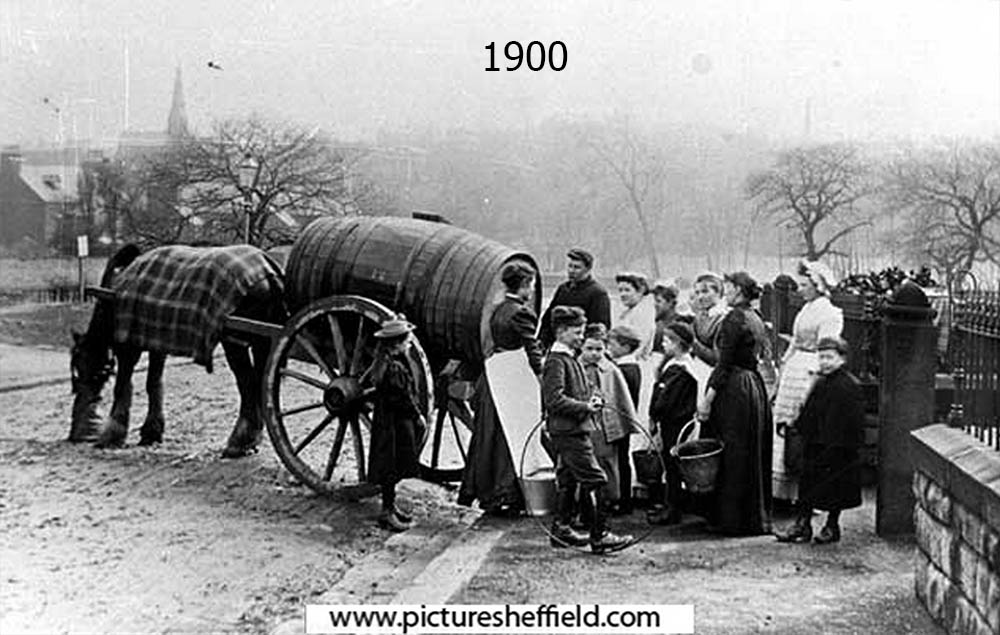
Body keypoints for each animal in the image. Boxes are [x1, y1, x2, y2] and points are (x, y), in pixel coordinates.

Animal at [68, 243, 288, 458]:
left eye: (81, 367)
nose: (77, 434)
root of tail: (267, 272)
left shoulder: (127, 346)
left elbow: (123, 387)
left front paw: (112, 434)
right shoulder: (156, 343)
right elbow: (153, 383)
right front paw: (152, 431)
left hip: (235, 342)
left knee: (247, 384)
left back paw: (240, 441)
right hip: (262, 342)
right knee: (260, 384)